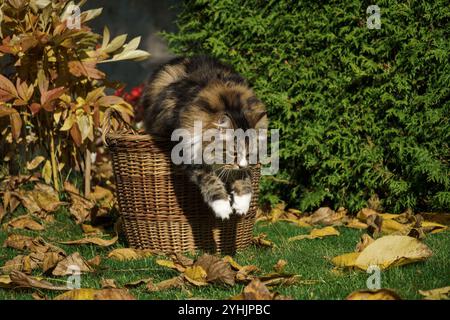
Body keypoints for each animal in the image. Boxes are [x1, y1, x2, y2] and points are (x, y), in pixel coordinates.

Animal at [141, 55, 268, 220]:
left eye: (248, 154)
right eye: (233, 153)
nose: (241, 164)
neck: (229, 103)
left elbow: (243, 175)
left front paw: (242, 203)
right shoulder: (187, 151)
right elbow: (210, 179)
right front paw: (223, 207)